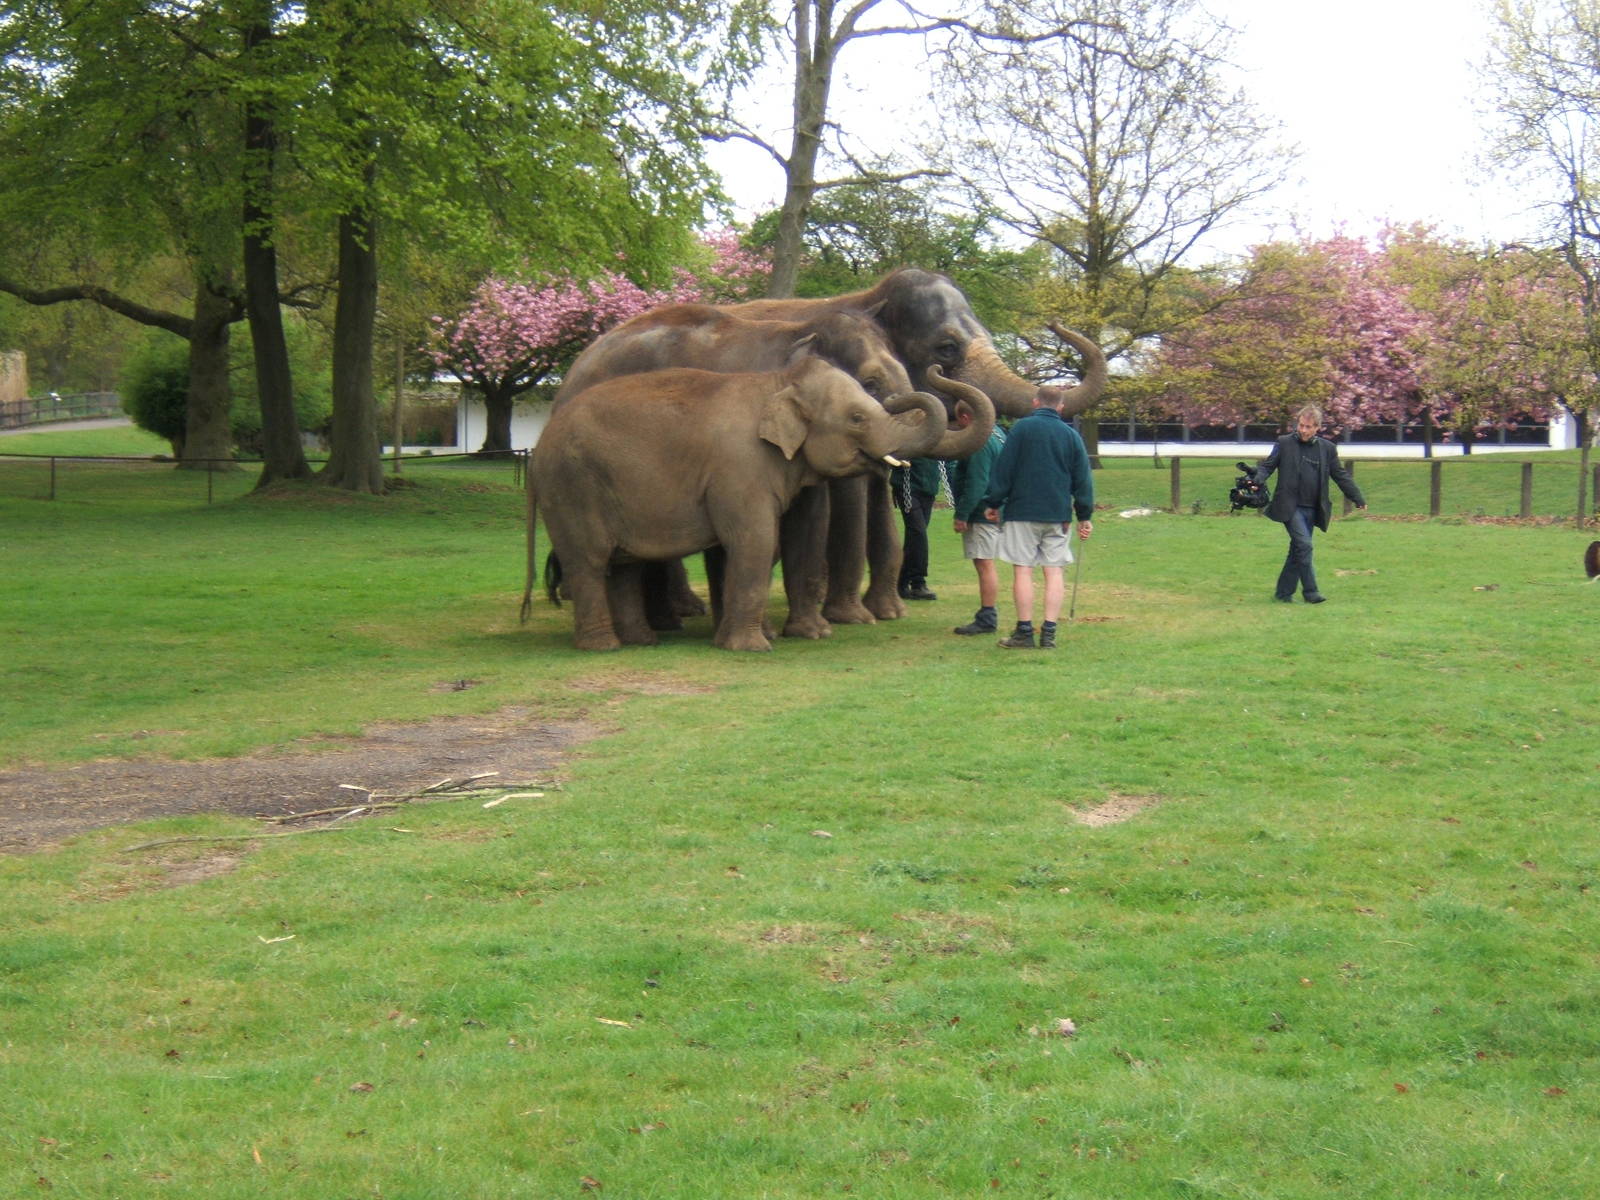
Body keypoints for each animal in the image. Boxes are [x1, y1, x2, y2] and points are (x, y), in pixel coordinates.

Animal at [548, 304, 995, 637]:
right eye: (868, 384)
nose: (938, 373)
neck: (801, 332)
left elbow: (809, 518)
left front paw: (812, 631)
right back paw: (664, 623)